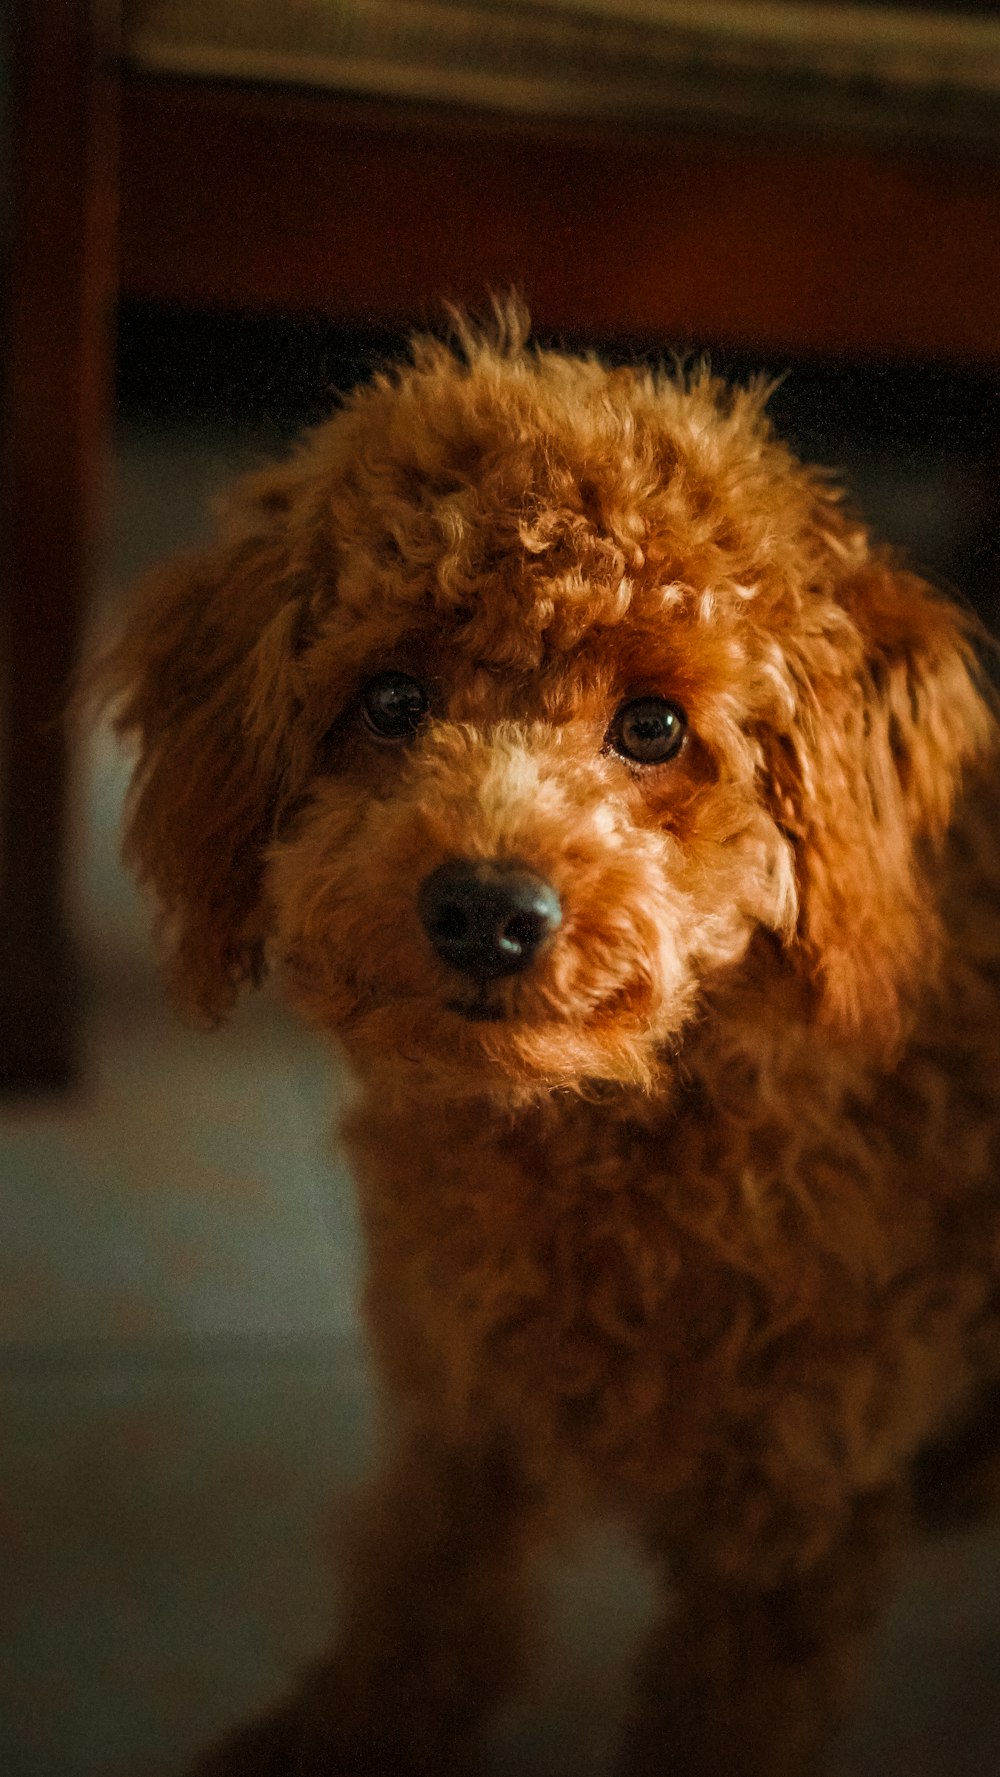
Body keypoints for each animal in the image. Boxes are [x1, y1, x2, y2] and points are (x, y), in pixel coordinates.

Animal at [103, 298, 1000, 1769]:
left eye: (654, 726)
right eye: (390, 698)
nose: (485, 910)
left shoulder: (788, 1529)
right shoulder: (462, 1409)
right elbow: (424, 1602)